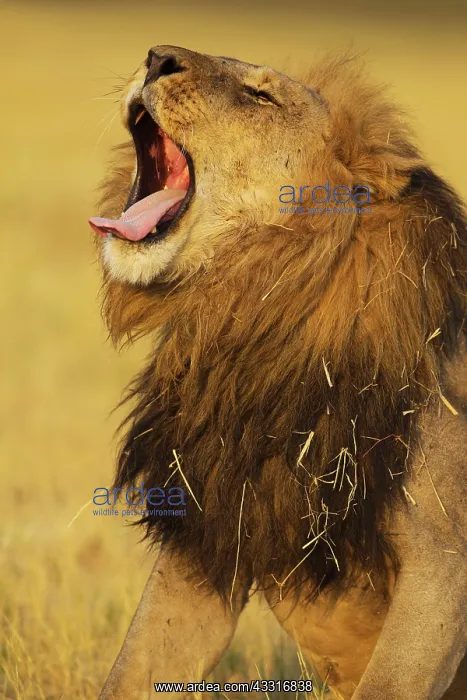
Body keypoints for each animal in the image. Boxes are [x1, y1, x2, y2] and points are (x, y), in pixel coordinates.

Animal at [90, 46, 467, 699]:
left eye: (261, 96)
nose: (157, 57)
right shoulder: (207, 539)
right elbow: (133, 670)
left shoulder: (442, 566)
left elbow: (388, 684)